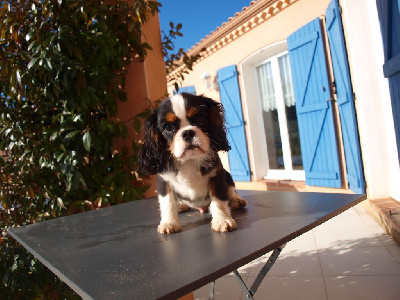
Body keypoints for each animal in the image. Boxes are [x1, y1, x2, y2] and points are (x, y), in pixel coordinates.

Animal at [139, 92, 248, 233]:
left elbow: (219, 200)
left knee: (230, 189)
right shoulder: (164, 181)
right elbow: (167, 202)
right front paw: (169, 223)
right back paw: (181, 205)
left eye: (200, 118)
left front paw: (222, 220)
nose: (187, 133)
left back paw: (236, 200)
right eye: (168, 127)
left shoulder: (217, 176)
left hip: (227, 174)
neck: (189, 160)